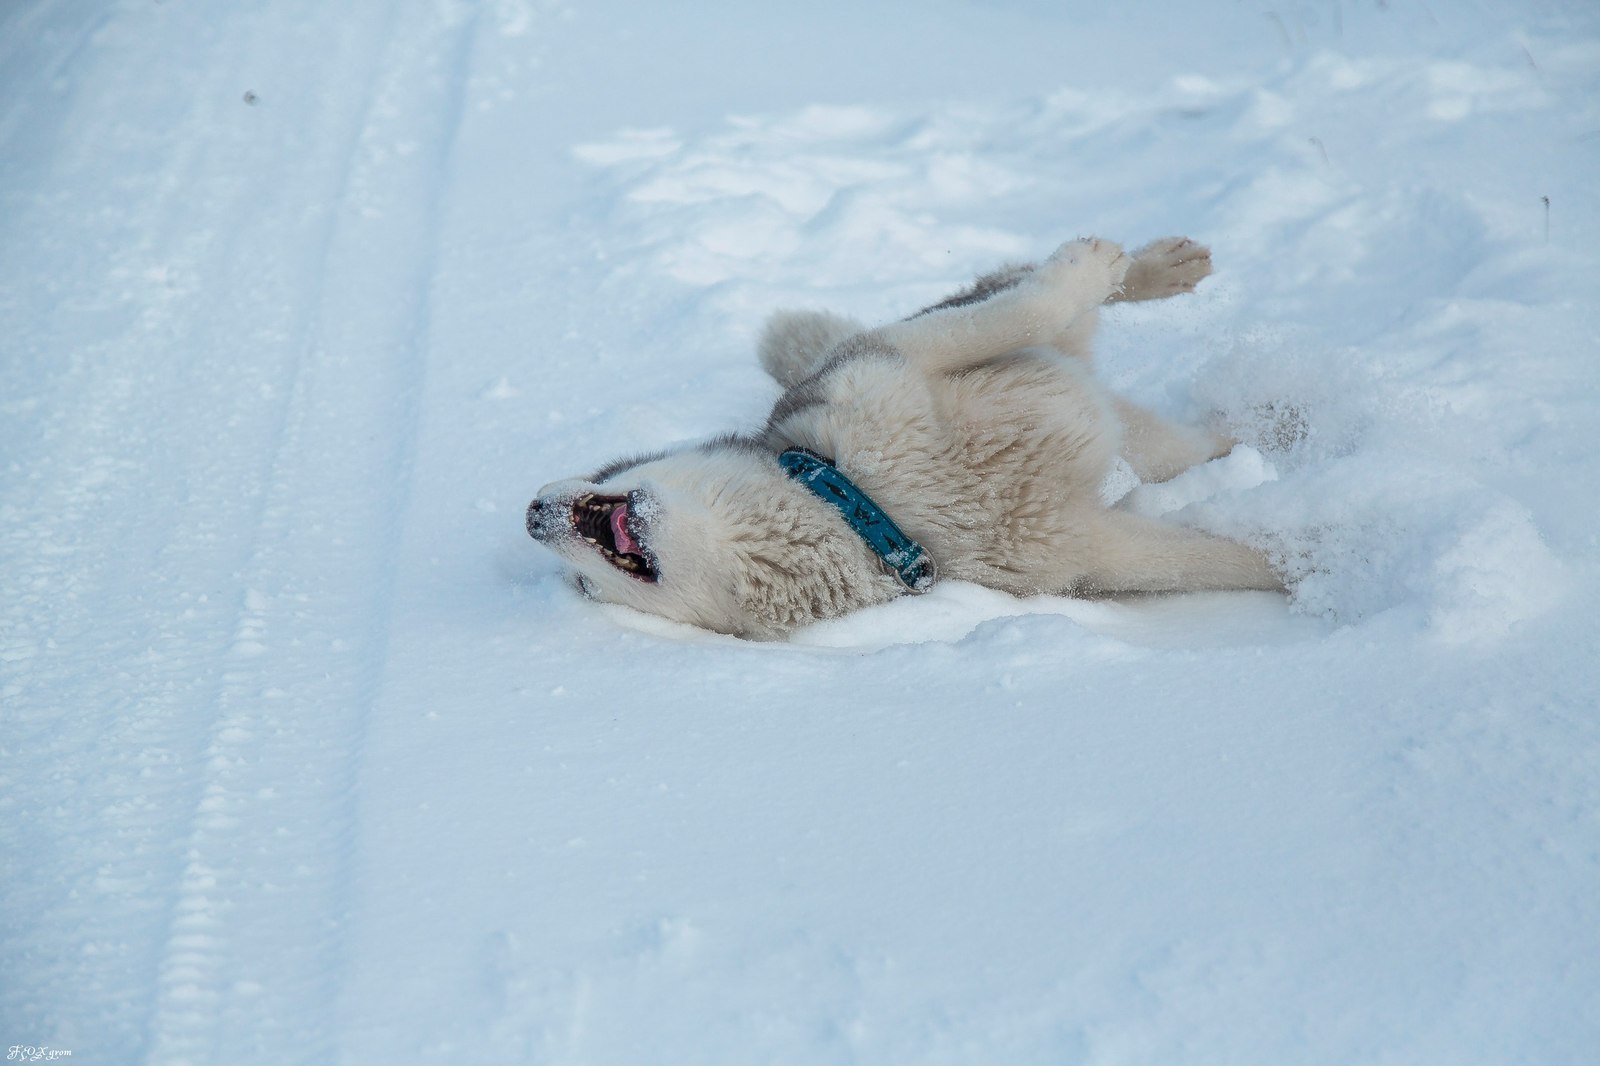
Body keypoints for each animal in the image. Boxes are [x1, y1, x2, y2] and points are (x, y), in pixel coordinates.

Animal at [531, 236, 1280, 633]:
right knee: (1197, 447)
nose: (531, 514)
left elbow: (1024, 307)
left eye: (603, 474)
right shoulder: (1085, 551)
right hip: (1147, 445)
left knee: (1032, 286)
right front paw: (1299, 567)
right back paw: (1275, 429)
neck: (865, 499)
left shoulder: (901, 358)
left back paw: (1153, 266)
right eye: (586, 590)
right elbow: (1217, 561)